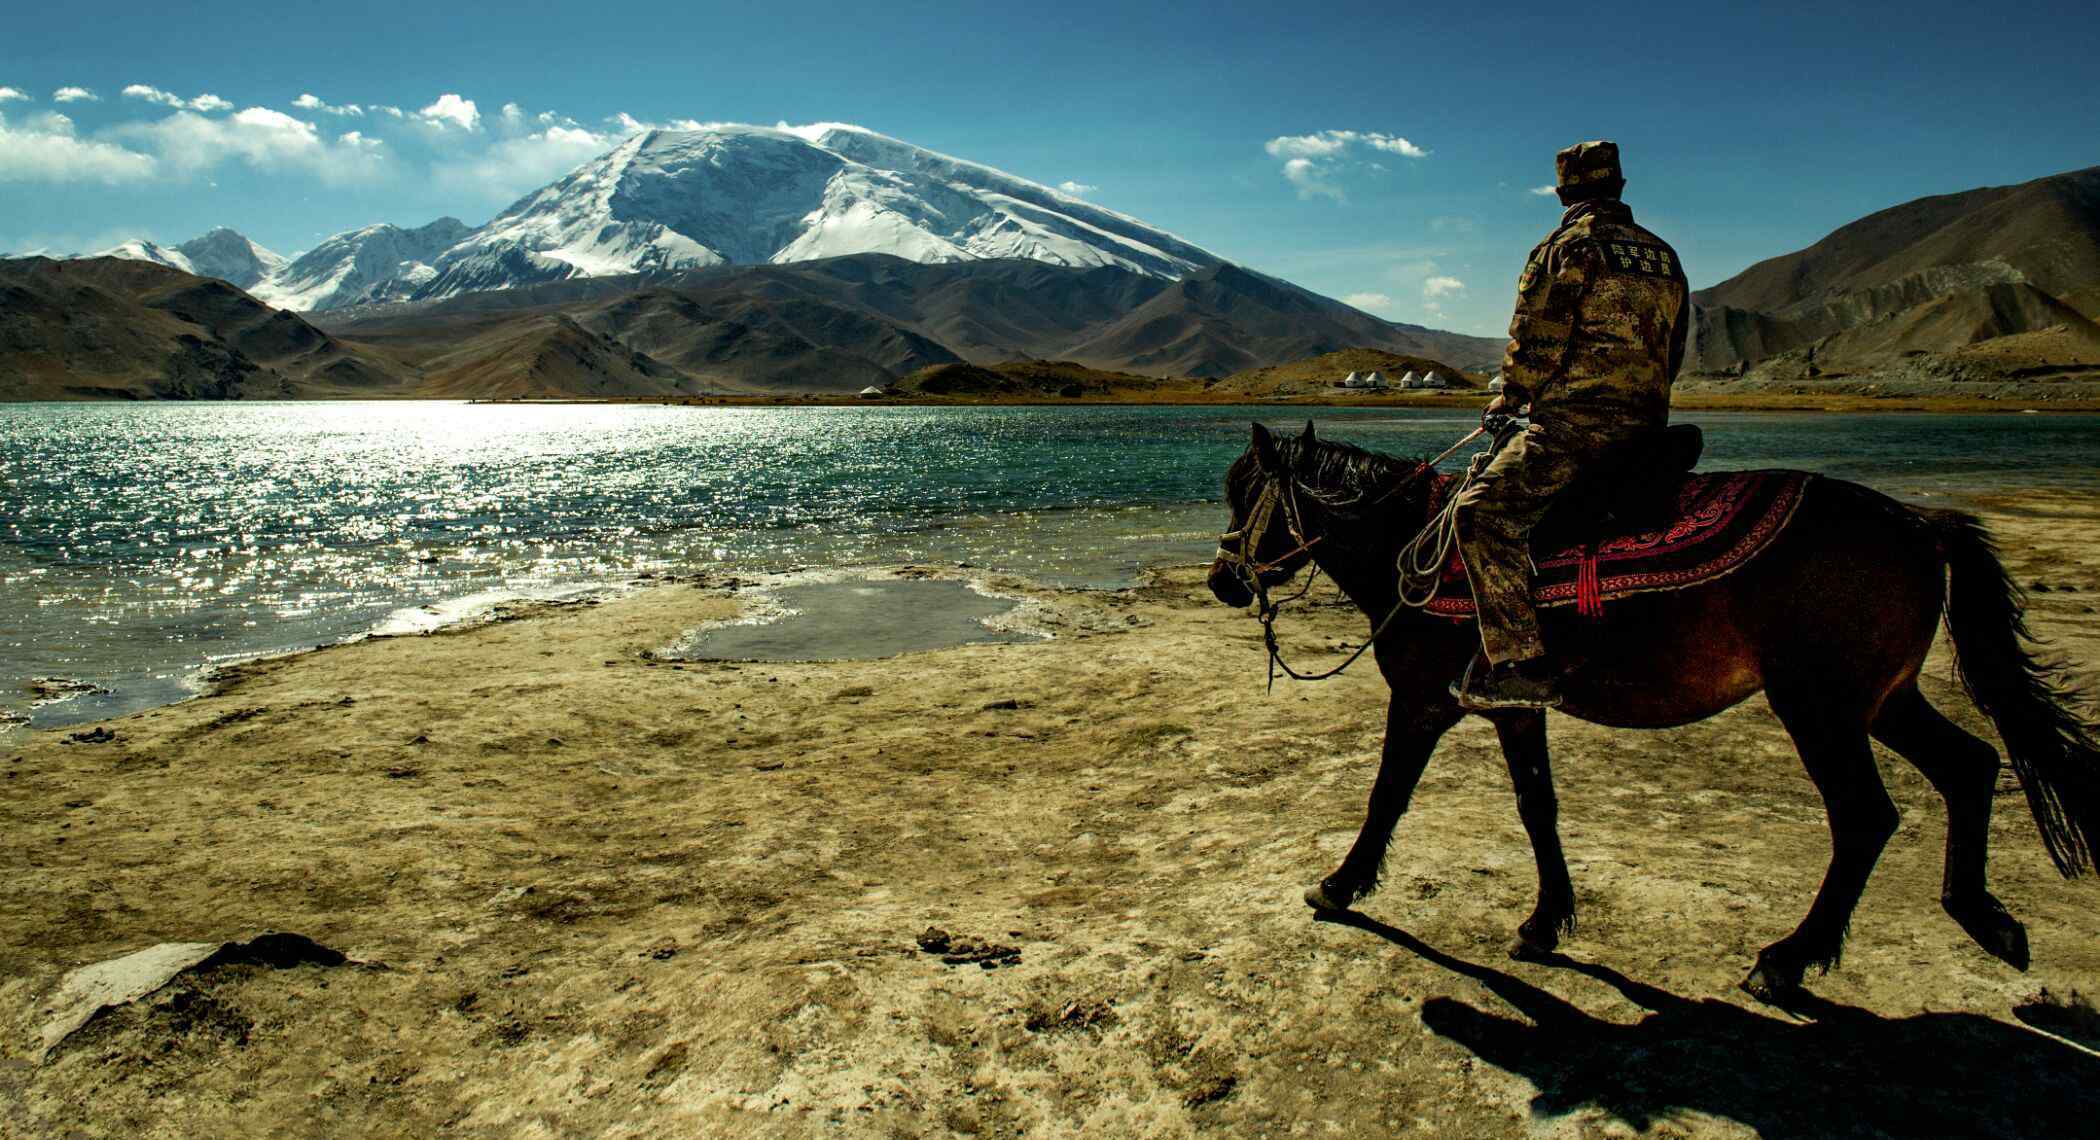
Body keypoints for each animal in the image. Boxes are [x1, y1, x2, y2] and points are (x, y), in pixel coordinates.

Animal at [1209, 424, 2091, 1003]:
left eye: (1241, 491)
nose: (1222, 579)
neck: (1410, 543)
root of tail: (1921, 523)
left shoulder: (1423, 699)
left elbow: (1387, 794)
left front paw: (1338, 885)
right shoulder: (1511, 705)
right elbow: (1537, 807)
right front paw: (1545, 923)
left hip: (1821, 705)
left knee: (1866, 816)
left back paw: (1787, 960)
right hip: (1885, 698)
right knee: (1971, 765)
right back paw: (1986, 919)